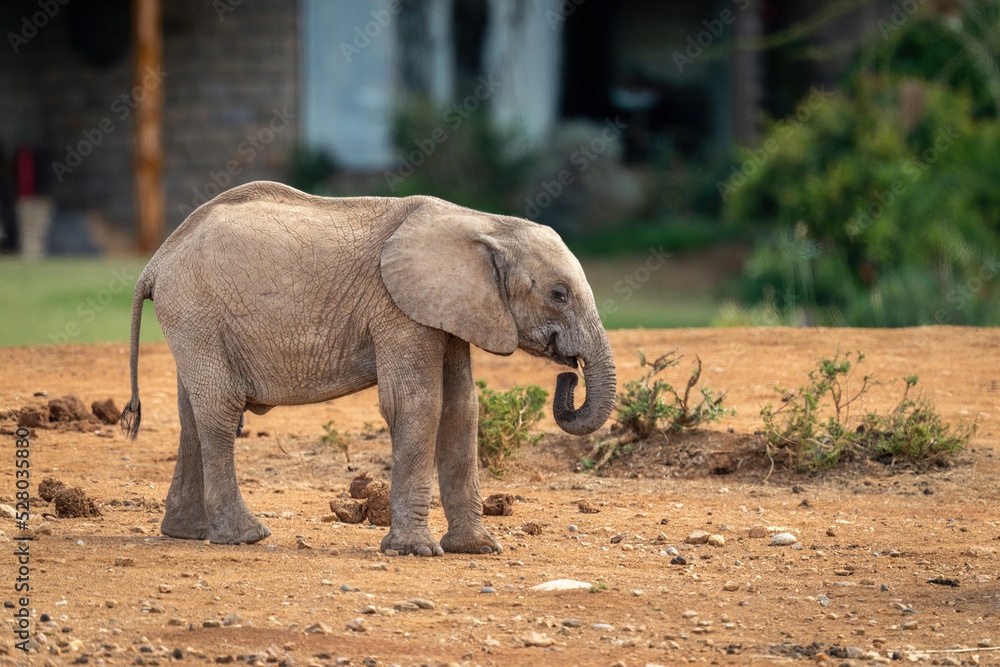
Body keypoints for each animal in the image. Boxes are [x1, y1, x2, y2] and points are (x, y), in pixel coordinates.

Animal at [121, 181, 616, 555]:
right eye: (558, 294)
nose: (569, 374)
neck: (485, 223)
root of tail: (155, 263)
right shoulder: (396, 308)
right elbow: (416, 403)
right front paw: (416, 552)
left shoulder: (451, 308)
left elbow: (462, 408)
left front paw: (477, 549)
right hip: (195, 311)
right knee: (221, 409)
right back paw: (246, 537)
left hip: (192, 320)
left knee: (192, 415)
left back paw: (187, 534)